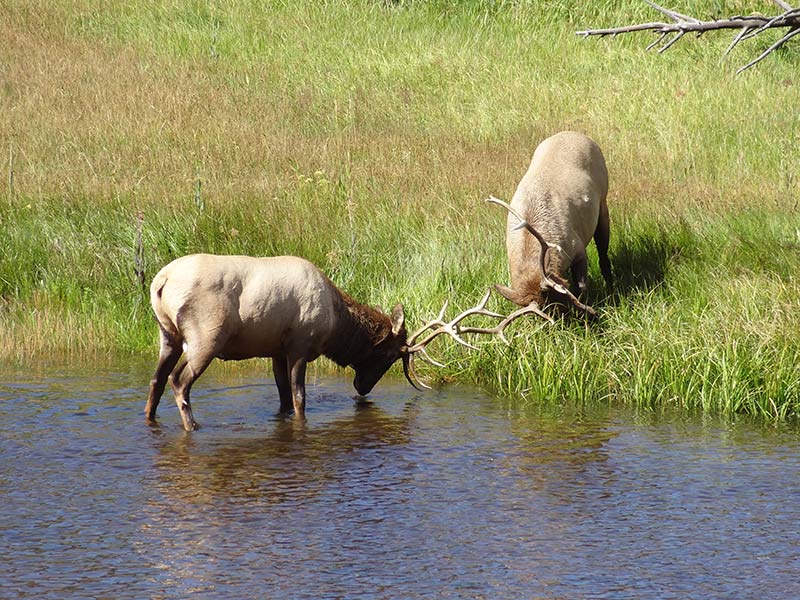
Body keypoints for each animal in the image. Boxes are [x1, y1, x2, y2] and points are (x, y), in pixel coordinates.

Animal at [488, 130, 612, 314]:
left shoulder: (578, 248)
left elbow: (581, 286)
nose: (594, 313)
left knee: (603, 251)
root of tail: (576, 133)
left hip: (603, 201)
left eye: (561, 298)